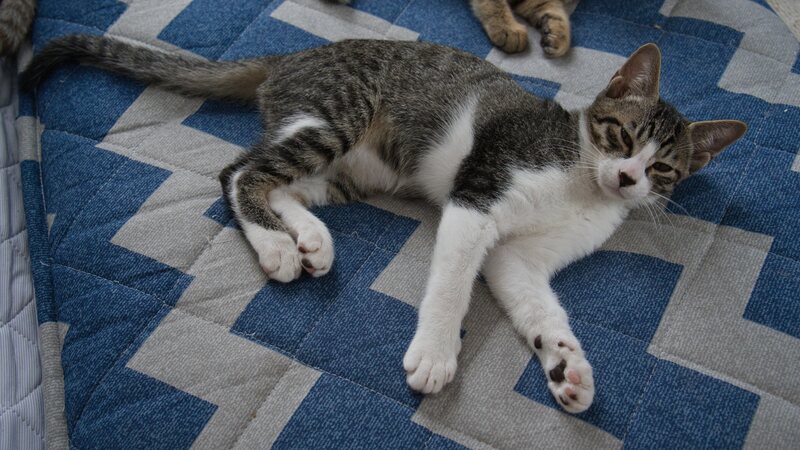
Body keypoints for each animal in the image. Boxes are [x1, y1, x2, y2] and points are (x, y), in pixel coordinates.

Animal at [22, 35, 745, 413]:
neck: (580, 180)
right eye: (622, 135)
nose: (626, 180)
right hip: (337, 117)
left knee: (284, 182)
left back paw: (308, 238)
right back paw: (276, 247)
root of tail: (291, 57)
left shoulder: (523, 256)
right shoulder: (477, 195)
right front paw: (436, 354)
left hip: (358, 167)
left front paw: (567, 365)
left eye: (663, 169)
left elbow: (538, 303)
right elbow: (452, 283)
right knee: (237, 170)